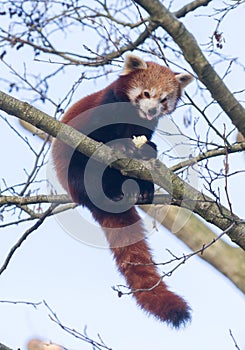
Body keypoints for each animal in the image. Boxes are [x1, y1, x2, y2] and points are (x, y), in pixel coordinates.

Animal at [51, 54, 193, 328]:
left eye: (164, 100)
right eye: (146, 93)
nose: (151, 111)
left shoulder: (145, 127)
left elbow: (145, 141)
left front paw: (146, 148)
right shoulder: (104, 108)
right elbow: (99, 137)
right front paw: (123, 146)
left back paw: (143, 190)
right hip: (73, 173)